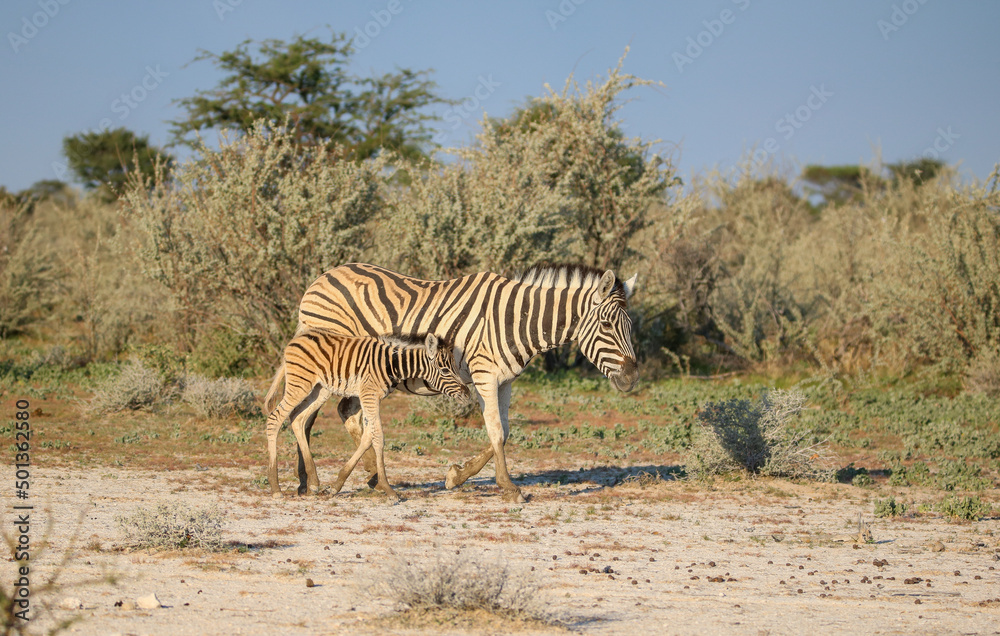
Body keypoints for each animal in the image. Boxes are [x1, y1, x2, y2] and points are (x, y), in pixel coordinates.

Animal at [264, 330, 469, 501]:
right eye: (445, 370)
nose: (467, 394)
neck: (392, 364)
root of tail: (295, 339)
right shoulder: (369, 395)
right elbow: (378, 438)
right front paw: (388, 489)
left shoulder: (374, 398)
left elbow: (367, 437)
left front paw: (337, 485)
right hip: (300, 385)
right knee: (275, 419)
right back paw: (275, 488)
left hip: (320, 390)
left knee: (298, 419)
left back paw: (313, 482)